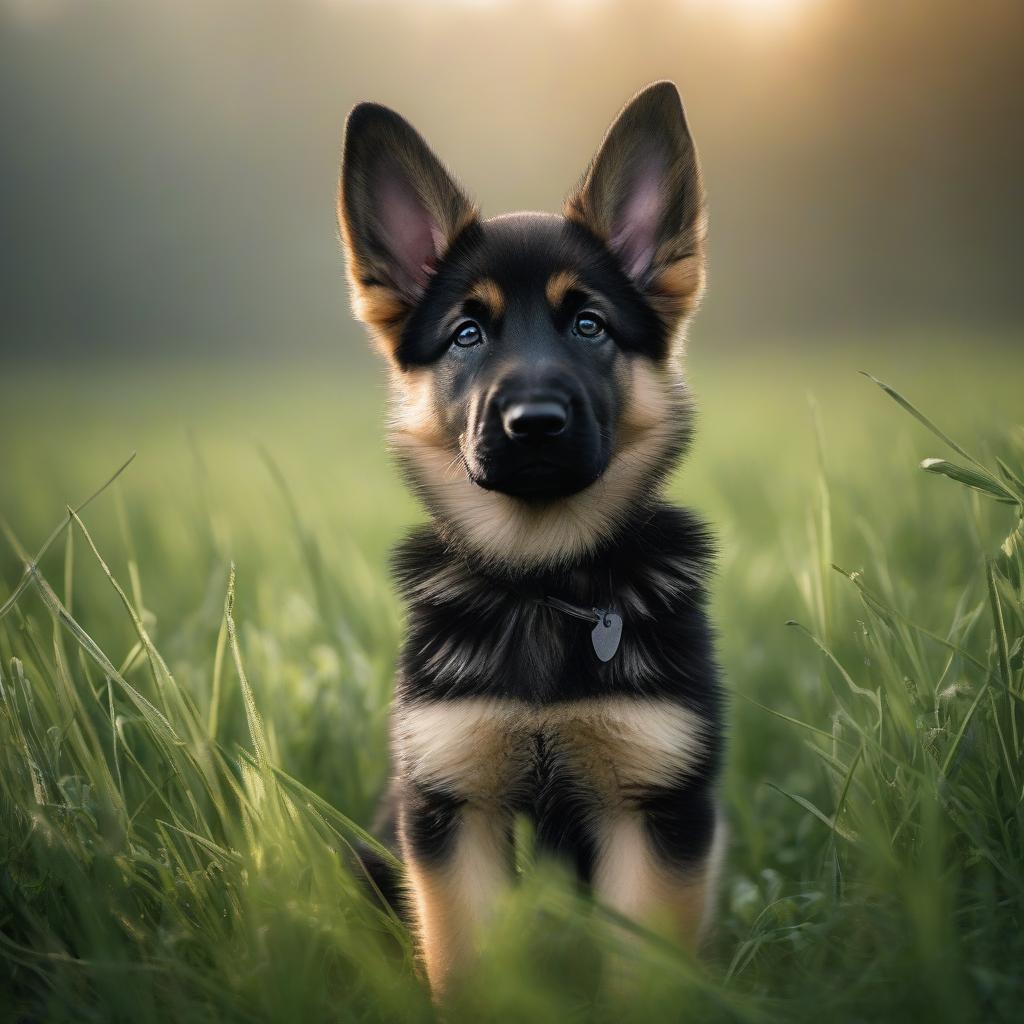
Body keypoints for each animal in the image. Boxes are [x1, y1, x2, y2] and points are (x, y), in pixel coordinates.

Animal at [335, 81, 720, 999]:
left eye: (589, 325)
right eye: (467, 334)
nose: (534, 423)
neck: (543, 579)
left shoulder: (653, 808)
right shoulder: (450, 810)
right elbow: (469, 969)